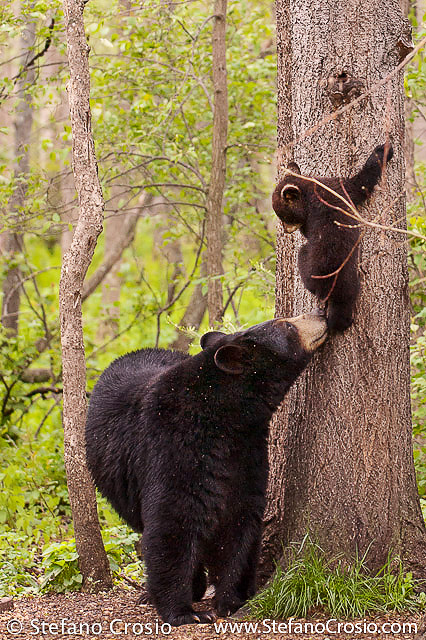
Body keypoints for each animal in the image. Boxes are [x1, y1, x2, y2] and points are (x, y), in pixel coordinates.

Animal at [85, 310, 328, 626]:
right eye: (286, 325)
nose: (321, 313)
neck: (220, 417)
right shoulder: (171, 449)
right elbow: (171, 524)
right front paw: (183, 611)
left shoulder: (246, 457)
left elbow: (239, 524)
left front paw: (230, 600)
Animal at [272, 143, 394, 332]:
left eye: (284, 216)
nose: (287, 231)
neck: (308, 190)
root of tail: (330, 286)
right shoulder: (337, 190)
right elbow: (360, 185)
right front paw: (383, 150)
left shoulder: (332, 188)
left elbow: (359, 184)